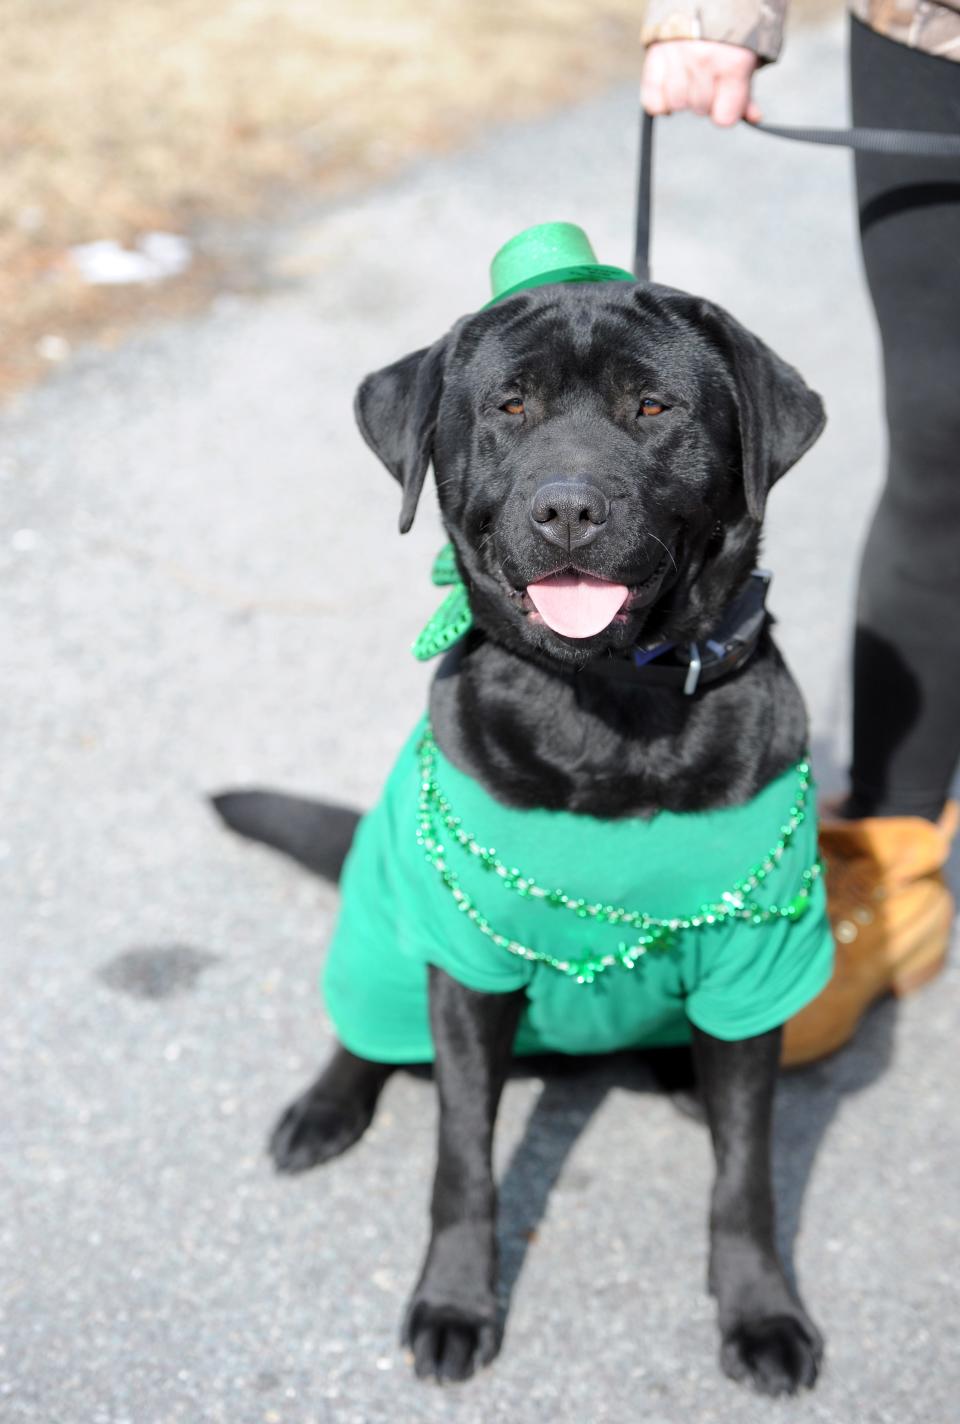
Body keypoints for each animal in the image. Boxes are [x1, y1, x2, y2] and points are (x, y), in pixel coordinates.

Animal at [222, 283, 820, 1395]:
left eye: (652, 407)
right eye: (509, 407)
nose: (568, 507)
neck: (611, 705)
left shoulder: (756, 971)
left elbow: (747, 1172)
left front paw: (762, 1310)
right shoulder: (465, 967)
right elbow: (462, 1159)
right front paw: (455, 1300)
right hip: (384, 933)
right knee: (361, 1034)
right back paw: (324, 1109)